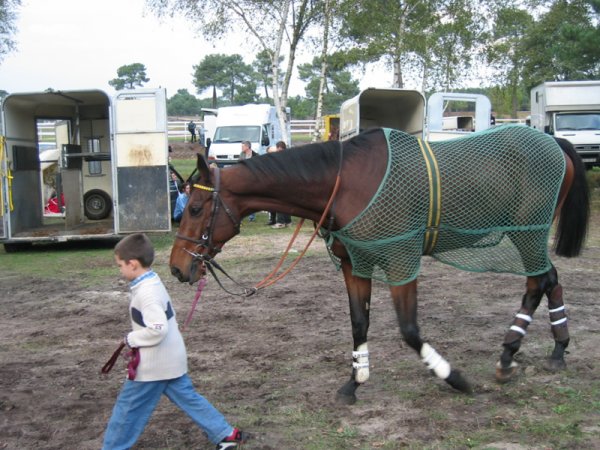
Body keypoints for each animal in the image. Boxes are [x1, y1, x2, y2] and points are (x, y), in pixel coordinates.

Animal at [170, 125, 592, 404]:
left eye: (195, 208)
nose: (176, 267)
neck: (345, 183)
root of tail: (554, 141)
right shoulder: (355, 265)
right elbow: (359, 323)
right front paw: (354, 381)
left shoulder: (401, 263)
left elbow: (409, 330)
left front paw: (453, 377)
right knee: (550, 279)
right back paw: (556, 349)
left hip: (527, 233)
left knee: (539, 282)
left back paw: (510, 353)